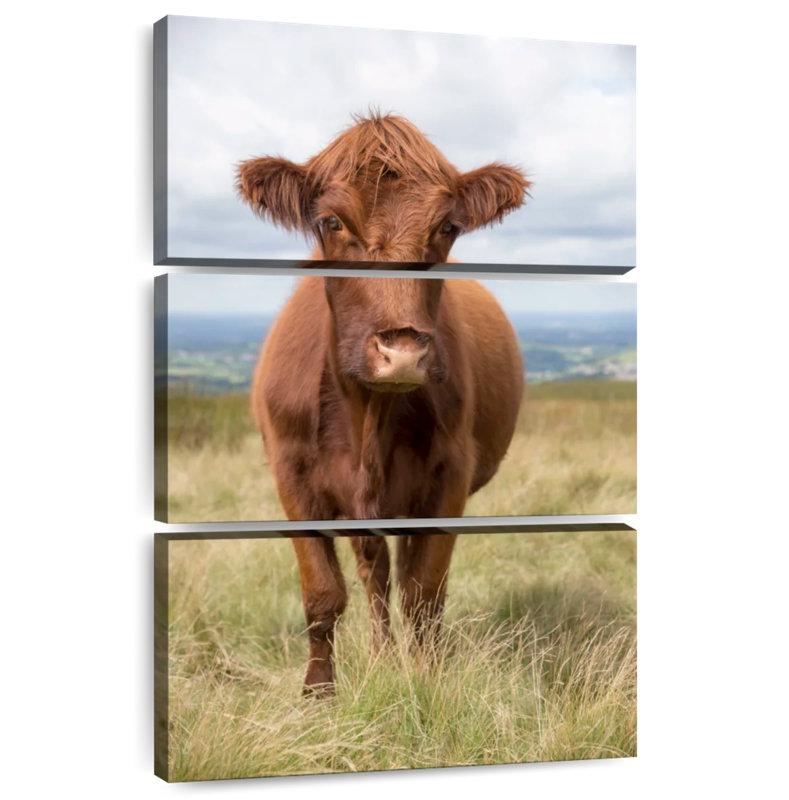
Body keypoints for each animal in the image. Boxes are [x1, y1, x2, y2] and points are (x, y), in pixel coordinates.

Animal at [239, 114, 529, 695]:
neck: (367, 419)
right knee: (374, 574)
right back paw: (379, 655)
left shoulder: (449, 478)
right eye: (331, 221)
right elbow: (323, 593)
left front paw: (427, 680)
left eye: (447, 227)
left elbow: (424, 593)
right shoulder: (292, 477)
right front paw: (319, 693)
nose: (403, 353)